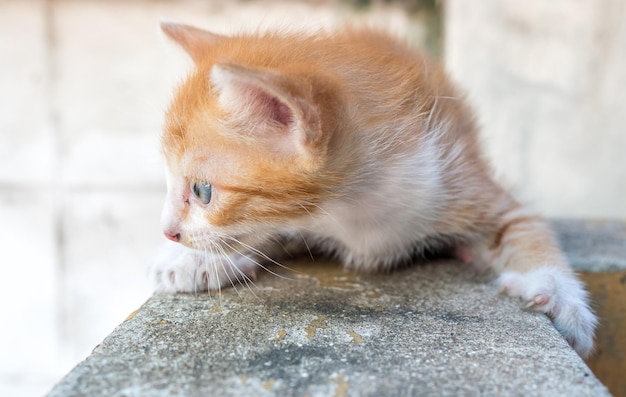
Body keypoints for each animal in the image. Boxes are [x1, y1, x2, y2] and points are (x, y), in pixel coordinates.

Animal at [150, 21, 596, 356]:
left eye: (202, 191)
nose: (167, 232)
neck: (353, 209)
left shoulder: (466, 183)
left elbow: (527, 230)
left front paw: (559, 296)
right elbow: (260, 233)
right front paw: (194, 261)